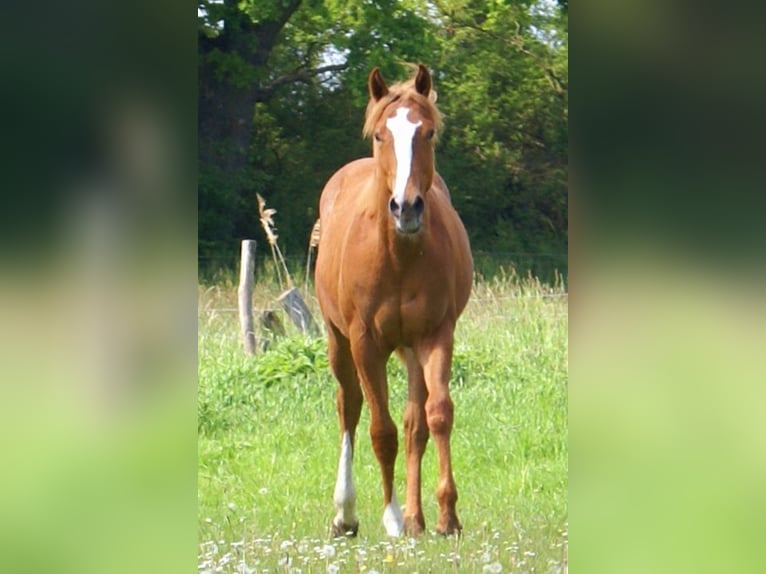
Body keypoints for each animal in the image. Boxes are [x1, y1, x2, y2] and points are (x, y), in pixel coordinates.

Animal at [314, 64, 473, 537]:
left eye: (428, 132)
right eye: (382, 135)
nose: (407, 208)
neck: (399, 256)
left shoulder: (436, 334)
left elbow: (437, 414)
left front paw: (447, 515)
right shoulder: (365, 342)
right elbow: (380, 430)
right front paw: (390, 516)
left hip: (410, 348)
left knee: (415, 421)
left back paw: (418, 517)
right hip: (338, 341)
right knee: (349, 408)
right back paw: (347, 515)